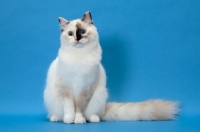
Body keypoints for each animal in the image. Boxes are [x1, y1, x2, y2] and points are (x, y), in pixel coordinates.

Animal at [43, 11, 179, 124]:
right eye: (70, 34)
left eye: (83, 32)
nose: (77, 39)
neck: (79, 56)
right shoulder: (65, 87)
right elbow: (70, 107)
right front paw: (69, 119)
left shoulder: (86, 88)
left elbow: (80, 107)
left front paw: (78, 119)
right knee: (57, 114)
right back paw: (55, 118)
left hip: (99, 96)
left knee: (92, 114)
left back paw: (93, 119)